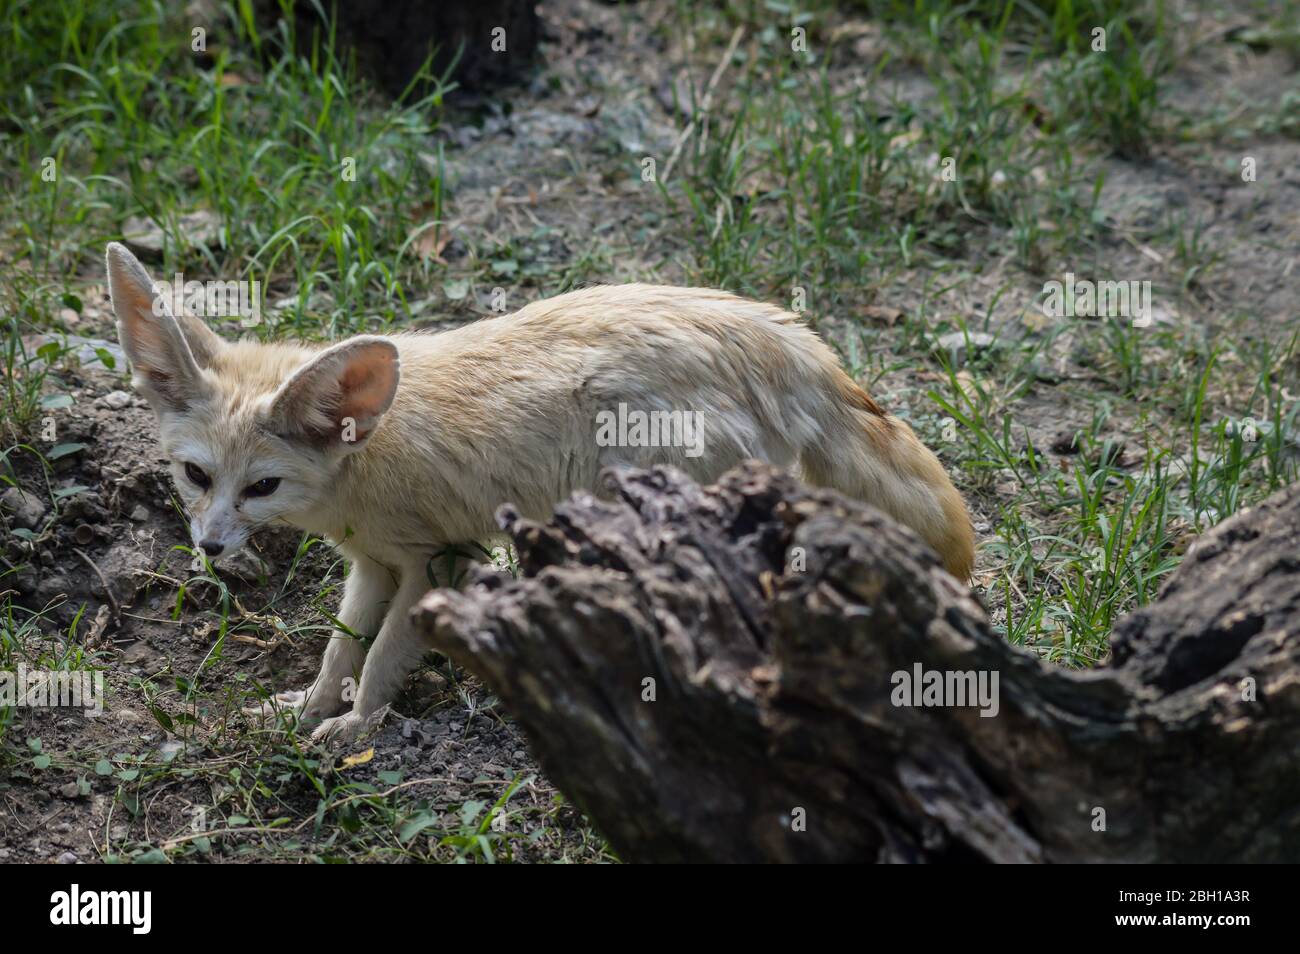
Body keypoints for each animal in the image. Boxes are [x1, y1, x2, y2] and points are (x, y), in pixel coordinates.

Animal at [104, 241, 975, 744]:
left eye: (262, 486)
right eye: (196, 477)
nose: (210, 546)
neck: (367, 453)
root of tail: (787, 337)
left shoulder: (443, 561)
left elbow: (382, 656)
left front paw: (357, 729)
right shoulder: (375, 564)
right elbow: (341, 646)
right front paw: (314, 707)